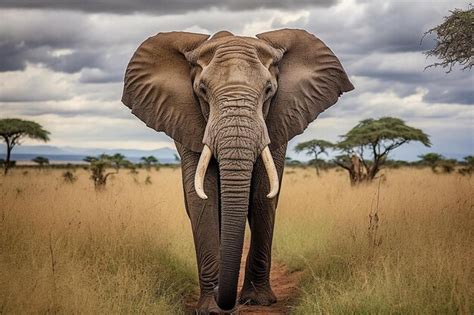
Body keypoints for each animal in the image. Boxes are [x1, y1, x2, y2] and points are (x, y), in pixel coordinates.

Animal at [120, 29, 354, 314]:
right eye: (202, 90)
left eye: (268, 90)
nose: (222, 295)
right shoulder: (189, 125)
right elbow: (202, 198)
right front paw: (212, 308)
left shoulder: (277, 121)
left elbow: (262, 195)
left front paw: (257, 300)